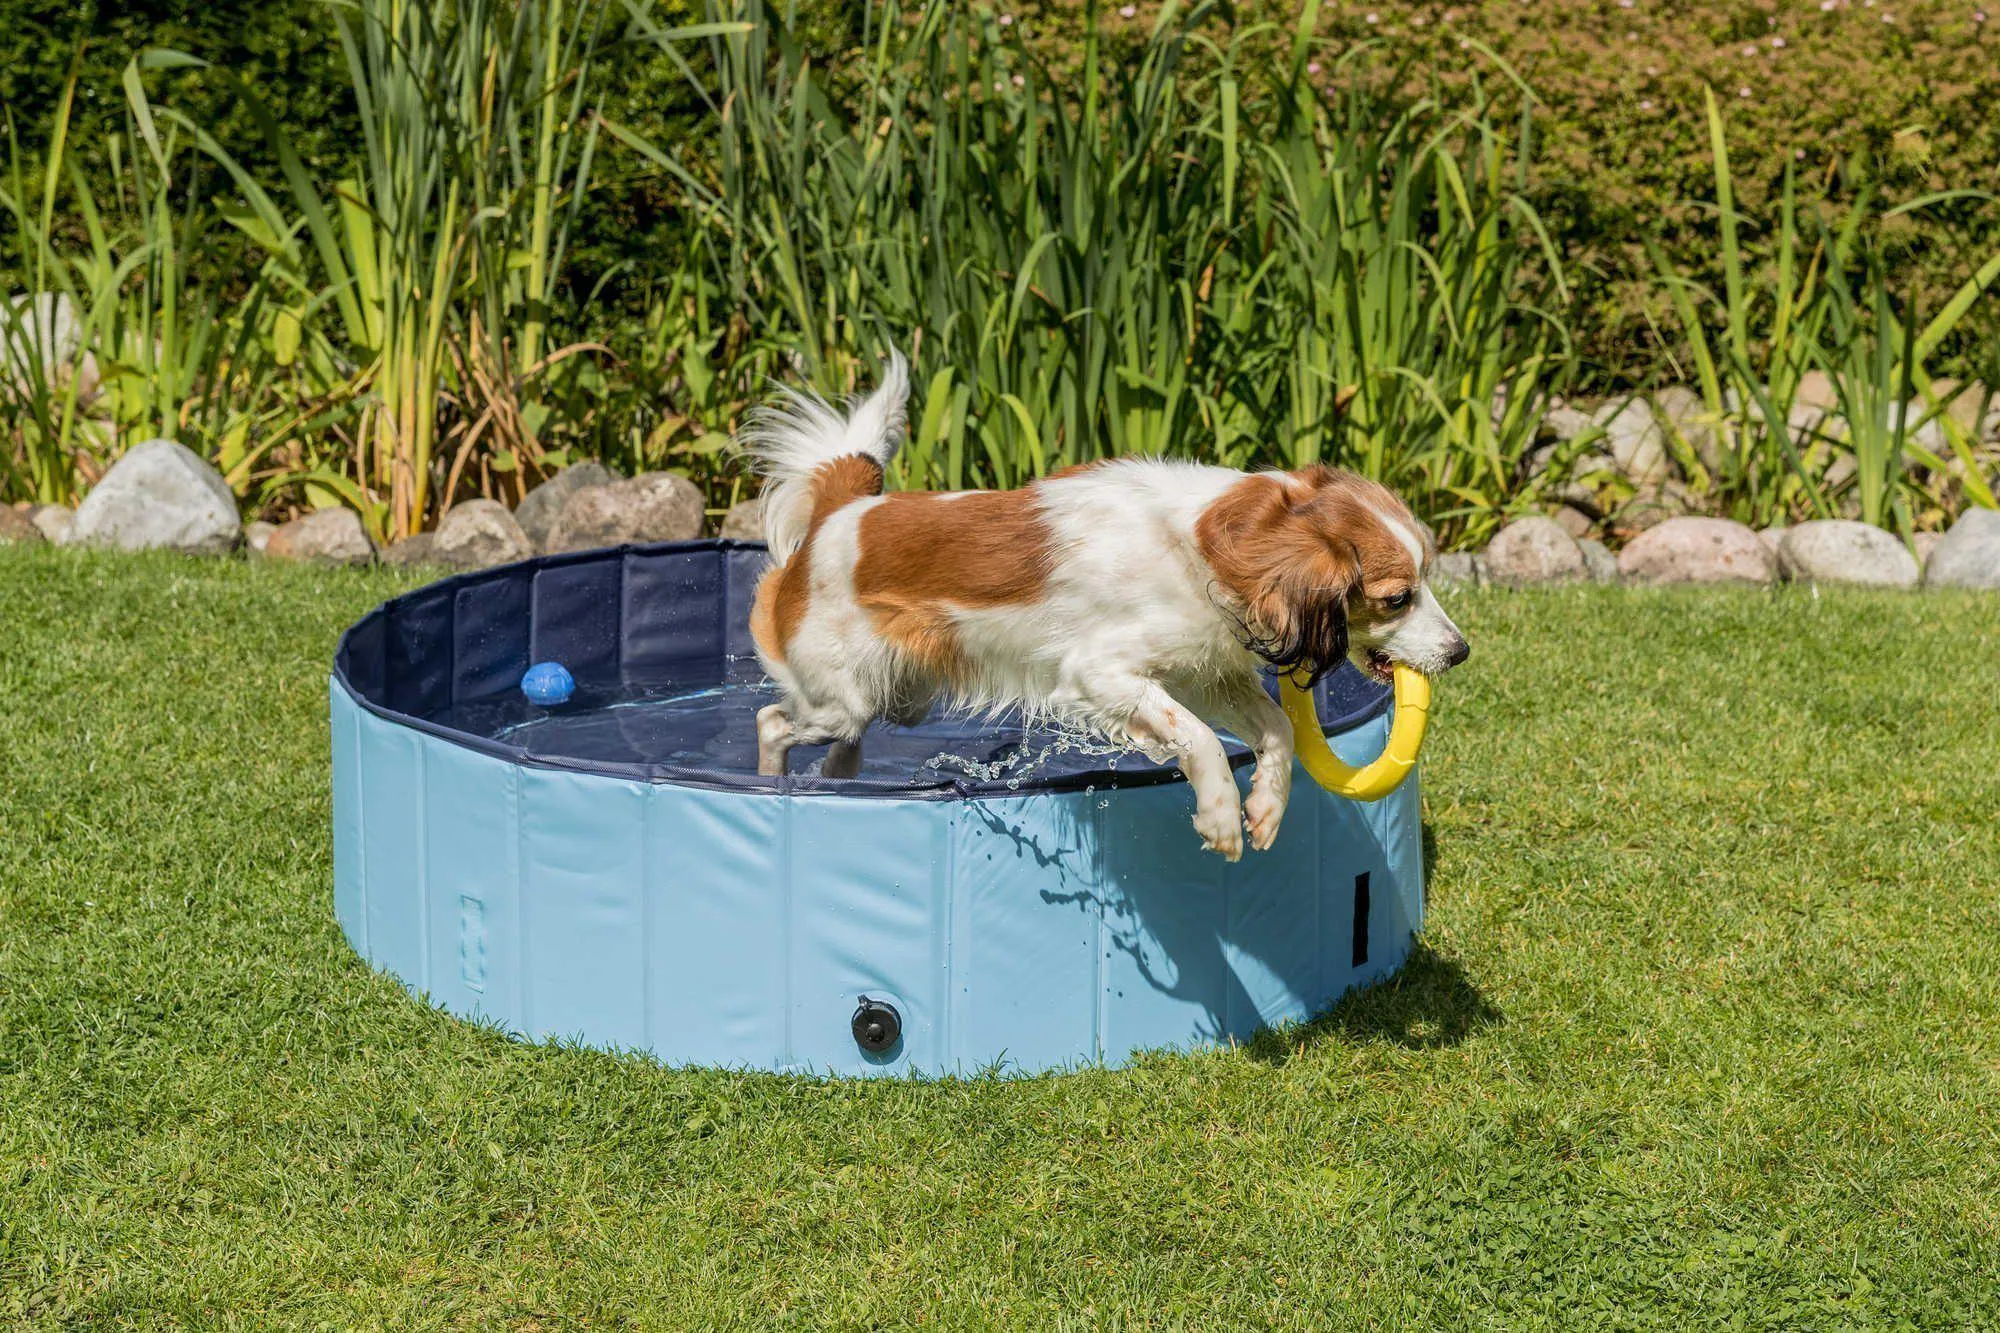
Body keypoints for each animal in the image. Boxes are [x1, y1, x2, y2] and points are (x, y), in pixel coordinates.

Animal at [752, 352, 1472, 856]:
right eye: (1398, 597)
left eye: (1429, 574)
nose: (1461, 651)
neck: (1205, 547)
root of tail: (842, 512)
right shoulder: (1099, 673)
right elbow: (1200, 738)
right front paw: (1220, 815)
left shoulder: (1205, 673)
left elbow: (1279, 729)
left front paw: (1266, 807)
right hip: (839, 696)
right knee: (772, 721)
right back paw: (767, 784)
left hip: (897, 697)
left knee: (841, 747)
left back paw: (838, 785)